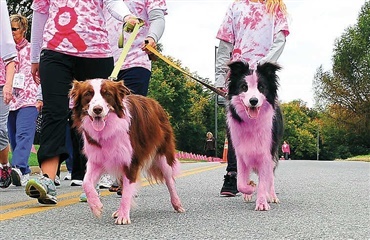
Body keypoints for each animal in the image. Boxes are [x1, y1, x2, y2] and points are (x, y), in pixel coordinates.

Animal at [69, 79, 185, 225]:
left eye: (107, 94)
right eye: (87, 94)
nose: (97, 110)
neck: (108, 129)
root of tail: (156, 103)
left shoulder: (130, 161)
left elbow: (127, 191)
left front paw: (123, 216)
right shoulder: (96, 158)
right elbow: (86, 183)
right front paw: (96, 206)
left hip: (163, 154)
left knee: (169, 180)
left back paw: (177, 204)